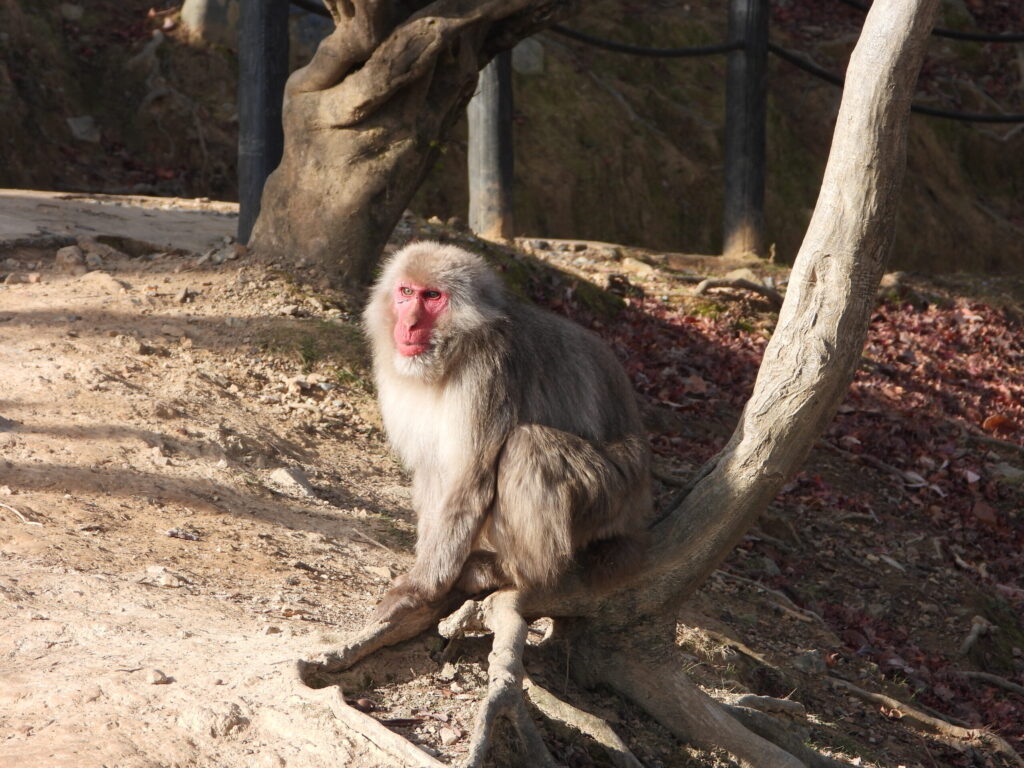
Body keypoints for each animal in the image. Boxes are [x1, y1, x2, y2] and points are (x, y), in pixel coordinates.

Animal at [363, 241, 652, 617]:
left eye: (432, 296)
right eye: (407, 292)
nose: (409, 324)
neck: (457, 350)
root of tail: (639, 508)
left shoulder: (489, 372)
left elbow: (470, 479)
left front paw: (422, 586)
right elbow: (435, 471)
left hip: (611, 500)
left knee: (529, 445)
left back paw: (520, 572)